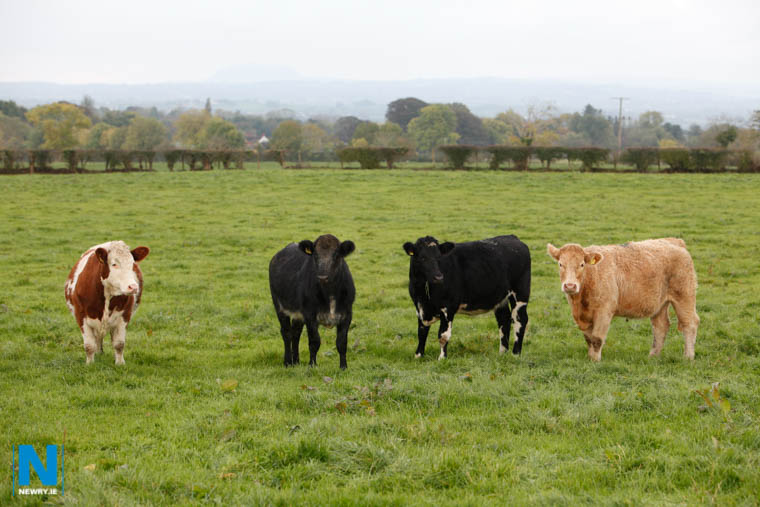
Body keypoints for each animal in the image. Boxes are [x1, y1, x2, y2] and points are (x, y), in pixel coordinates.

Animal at [269, 234, 356, 369]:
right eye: (315, 254)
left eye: (336, 254)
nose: (323, 276)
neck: (329, 291)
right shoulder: (310, 315)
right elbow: (315, 341)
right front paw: (312, 365)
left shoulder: (347, 314)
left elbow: (341, 343)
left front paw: (343, 367)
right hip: (279, 306)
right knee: (286, 333)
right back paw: (288, 362)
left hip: (298, 315)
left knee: (296, 333)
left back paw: (296, 361)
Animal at [402, 235, 531, 360]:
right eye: (422, 258)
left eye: (439, 257)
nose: (438, 277)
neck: (424, 294)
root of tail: (512, 237)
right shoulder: (419, 307)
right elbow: (421, 333)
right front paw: (418, 355)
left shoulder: (448, 307)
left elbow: (443, 335)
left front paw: (442, 358)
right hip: (500, 298)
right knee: (504, 320)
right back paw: (502, 353)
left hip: (520, 294)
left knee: (520, 320)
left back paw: (515, 354)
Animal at [546, 238, 699, 361]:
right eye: (560, 264)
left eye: (582, 264)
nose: (570, 285)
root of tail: (674, 241)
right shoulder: (583, 316)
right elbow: (589, 339)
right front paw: (590, 358)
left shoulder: (604, 312)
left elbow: (597, 339)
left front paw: (595, 361)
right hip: (660, 304)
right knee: (661, 326)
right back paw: (653, 356)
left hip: (684, 295)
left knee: (689, 323)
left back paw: (688, 357)